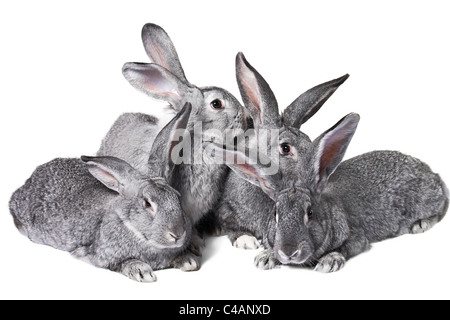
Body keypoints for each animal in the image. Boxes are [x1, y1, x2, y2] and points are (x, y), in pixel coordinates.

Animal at [8, 104, 198, 282]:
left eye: (177, 197)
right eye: (147, 203)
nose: (177, 234)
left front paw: (188, 261)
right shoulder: (99, 256)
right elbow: (121, 264)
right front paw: (141, 271)